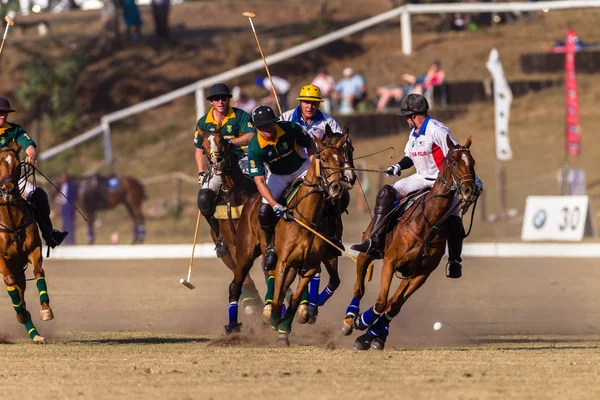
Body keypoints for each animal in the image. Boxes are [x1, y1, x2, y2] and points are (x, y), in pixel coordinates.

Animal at [0, 145, 53, 346]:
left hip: (18, 269)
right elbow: (9, 281)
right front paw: (22, 315)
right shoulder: (1, 258)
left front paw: (45, 310)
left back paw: (35, 334)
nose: (8, 190)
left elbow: (38, 272)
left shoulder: (32, 250)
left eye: (17, 164)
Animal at [199, 132, 262, 316]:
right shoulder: (235, 246)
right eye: (203, 146)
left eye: (222, 140)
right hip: (225, 254)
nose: (217, 161)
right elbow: (244, 276)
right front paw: (253, 303)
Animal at [225, 133, 350, 346]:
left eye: (341, 160)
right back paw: (233, 328)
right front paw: (275, 319)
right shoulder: (283, 261)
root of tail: (251, 199)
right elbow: (278, 297)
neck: (306, 218)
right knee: (236, 285)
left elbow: (294, 297)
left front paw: (285, 328)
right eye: (324, 159)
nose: (338, 187)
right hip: (245, 255)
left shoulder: (310, 265)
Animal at [342, 137, 478, 350]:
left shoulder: (420, 275)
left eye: (472, 162)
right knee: (359, 286)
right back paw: (350, 319)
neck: (427, 221)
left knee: (392, 301)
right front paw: (362, 321)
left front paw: (369, 334)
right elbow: (381, 302)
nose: (470, 190)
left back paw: (375, 335)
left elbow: (393, 306)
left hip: (407, 274)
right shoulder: (390, 261)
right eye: (453, 161)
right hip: (367, 250)